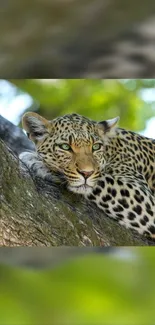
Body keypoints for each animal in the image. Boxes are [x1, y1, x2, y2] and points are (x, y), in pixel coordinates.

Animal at [19, 111, 155, 238]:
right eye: (65, 147)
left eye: (96, 147)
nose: (86, 173)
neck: (111, 150)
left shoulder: (144, 197)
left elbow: (101, 179)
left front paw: (38, 163)